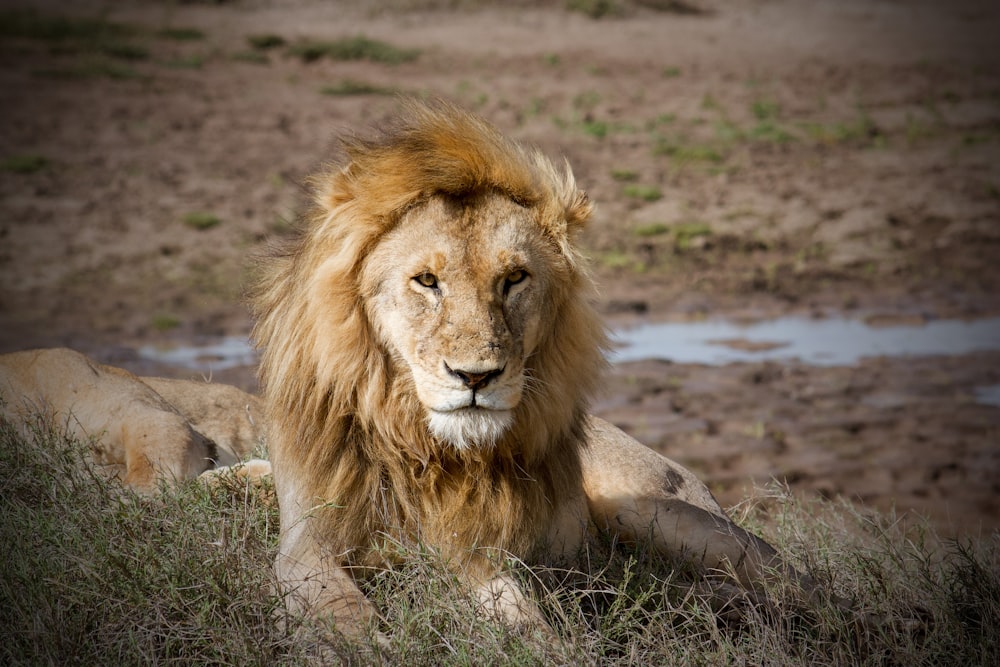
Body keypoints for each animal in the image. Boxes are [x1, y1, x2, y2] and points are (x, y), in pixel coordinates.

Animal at [252, 100, 812, 636]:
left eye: (515, 278)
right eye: (427, 280)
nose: (476, 377)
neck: (428, 453)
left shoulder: (483, 554)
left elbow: (522, 615)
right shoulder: (306, 545)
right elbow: (344, 613)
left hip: (653, 508)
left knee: (793, 576)